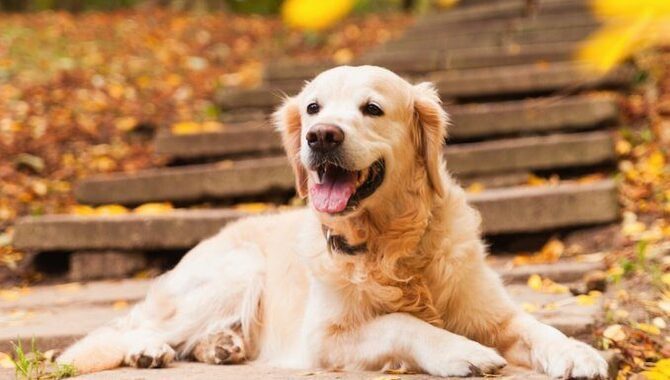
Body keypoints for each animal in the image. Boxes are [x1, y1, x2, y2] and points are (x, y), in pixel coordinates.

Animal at [59, 67, 608, 378]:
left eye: (372, 108)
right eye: (312, 108)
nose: (321, 135)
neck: (389, 244)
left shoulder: (494, 313)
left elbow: (537, 327)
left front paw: (578, 353)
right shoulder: (323, 339)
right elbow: (400, 321)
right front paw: (459, 350)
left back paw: (222, 345)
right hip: (236, 272)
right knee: (123, 329)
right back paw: (147, 350)